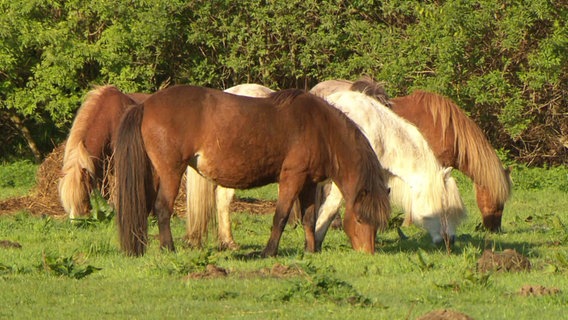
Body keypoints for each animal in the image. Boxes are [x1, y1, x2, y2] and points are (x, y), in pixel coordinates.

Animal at [115, 85, 390, 258]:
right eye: (360, 219)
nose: (368, 253)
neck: (321, 128)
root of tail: (146, 105)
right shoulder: (292, 177)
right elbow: (281, 216)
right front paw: (269, 252)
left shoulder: (309, 183)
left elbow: (309, 218)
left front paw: (310, 251)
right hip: (171, 172)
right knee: (162, 209)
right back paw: (168, 249)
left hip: (155, 173)